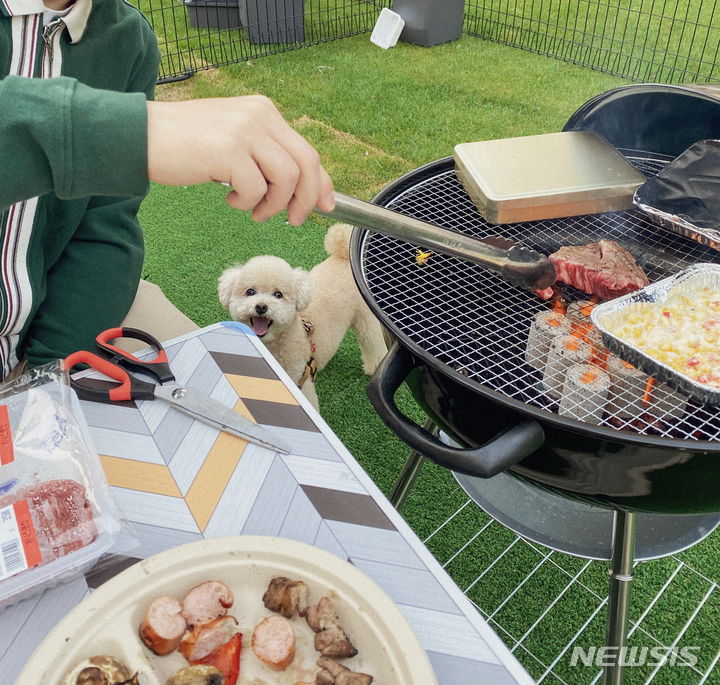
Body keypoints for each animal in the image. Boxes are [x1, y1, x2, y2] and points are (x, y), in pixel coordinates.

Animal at [218, 224, 388, 408]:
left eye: (278, 294)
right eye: (250, 292)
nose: (261, 306)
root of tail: (343, 256)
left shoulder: (300, 380)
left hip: (366, 318)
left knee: (373, 342)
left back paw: (374, 365)